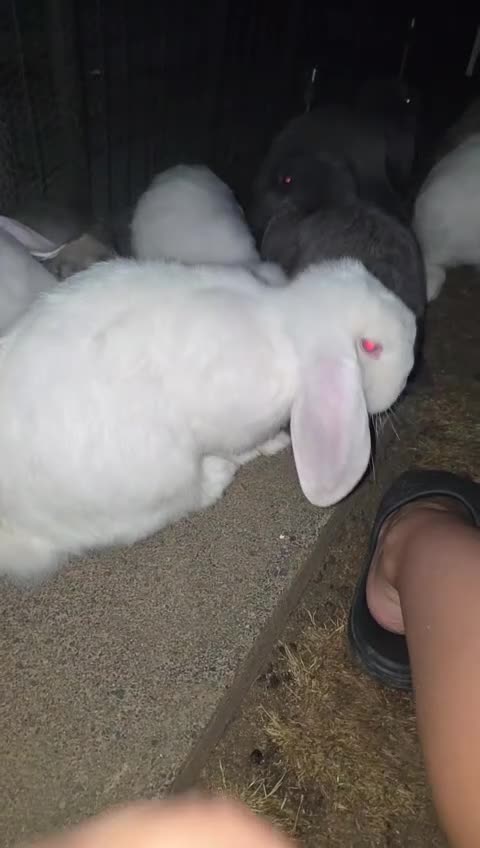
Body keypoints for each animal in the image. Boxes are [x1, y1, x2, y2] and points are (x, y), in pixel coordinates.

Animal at [0, 255, 416, 581]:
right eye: (371, 347)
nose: (414, 329)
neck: (283, 323)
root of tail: (16, 518)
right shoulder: (232, 422)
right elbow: (241, 445)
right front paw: (271, 446)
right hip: (158, 476)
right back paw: (219, 475)